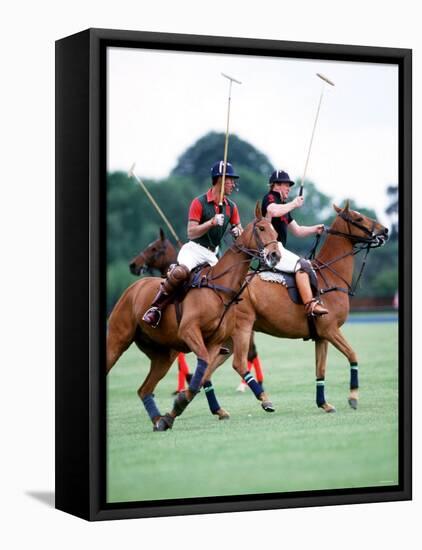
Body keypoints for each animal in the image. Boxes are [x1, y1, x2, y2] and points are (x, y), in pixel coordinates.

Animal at [107, 205, 282, 434]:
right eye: (261, 228)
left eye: (276, 232)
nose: (275, 256)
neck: (221, 289)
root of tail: (132, 288)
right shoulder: (189, 332)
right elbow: (201, 372)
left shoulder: (215, 342)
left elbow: (200, 378)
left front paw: (172, 413)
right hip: (117, 340)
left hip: (163, 355)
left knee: (144, 389)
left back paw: (158, 420)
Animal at [214, 203, 390, 414]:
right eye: (358, 218)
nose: (385, 231)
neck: (331, 276)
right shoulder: (331, 330)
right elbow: (353, 355)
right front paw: (353, 397)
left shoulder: (322, 336)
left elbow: (320, 369)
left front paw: (323, 403)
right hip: (243, 327)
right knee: (238, 363)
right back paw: (264, 400)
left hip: (228, 336)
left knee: (208, 365)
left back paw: (212, 407)